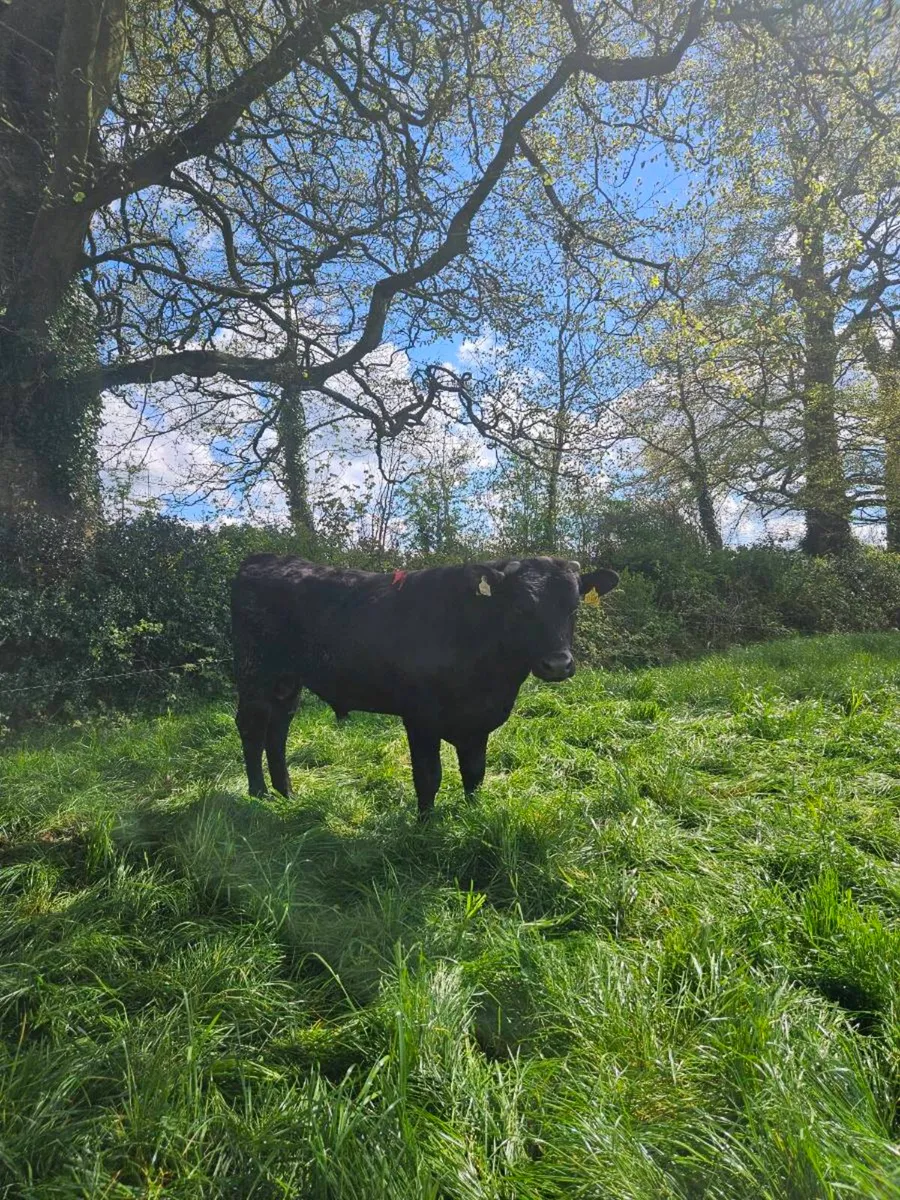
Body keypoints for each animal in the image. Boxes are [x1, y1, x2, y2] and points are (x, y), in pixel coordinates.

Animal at [230, 554, 619, 816]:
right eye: (520, 607)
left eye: (573, 607)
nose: (557, 664)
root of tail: (267, 559)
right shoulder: (420, 717)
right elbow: (429, 775)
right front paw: (425, 826)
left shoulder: (478, 720)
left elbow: (474, 772)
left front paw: (474, 817)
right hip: (255, 673)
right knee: (252, 727)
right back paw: (259, 794)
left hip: (287, 681)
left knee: (278, 730)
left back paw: (287, 793)